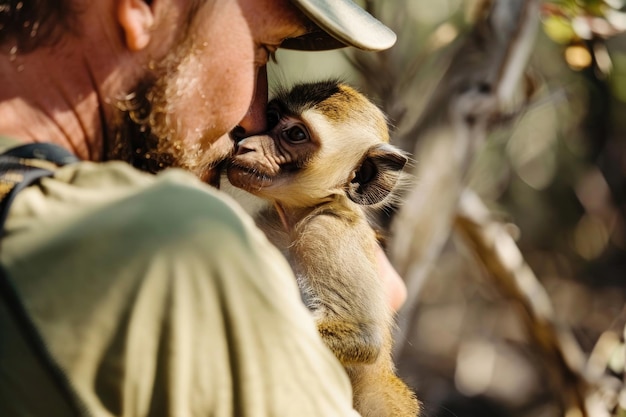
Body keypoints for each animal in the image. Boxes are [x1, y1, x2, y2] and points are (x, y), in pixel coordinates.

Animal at [224, 79, 420, 414]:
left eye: (296, 135)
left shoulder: (326, 233)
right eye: (273, 116)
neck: (301, 215)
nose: (246, 144)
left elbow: (362, 336)